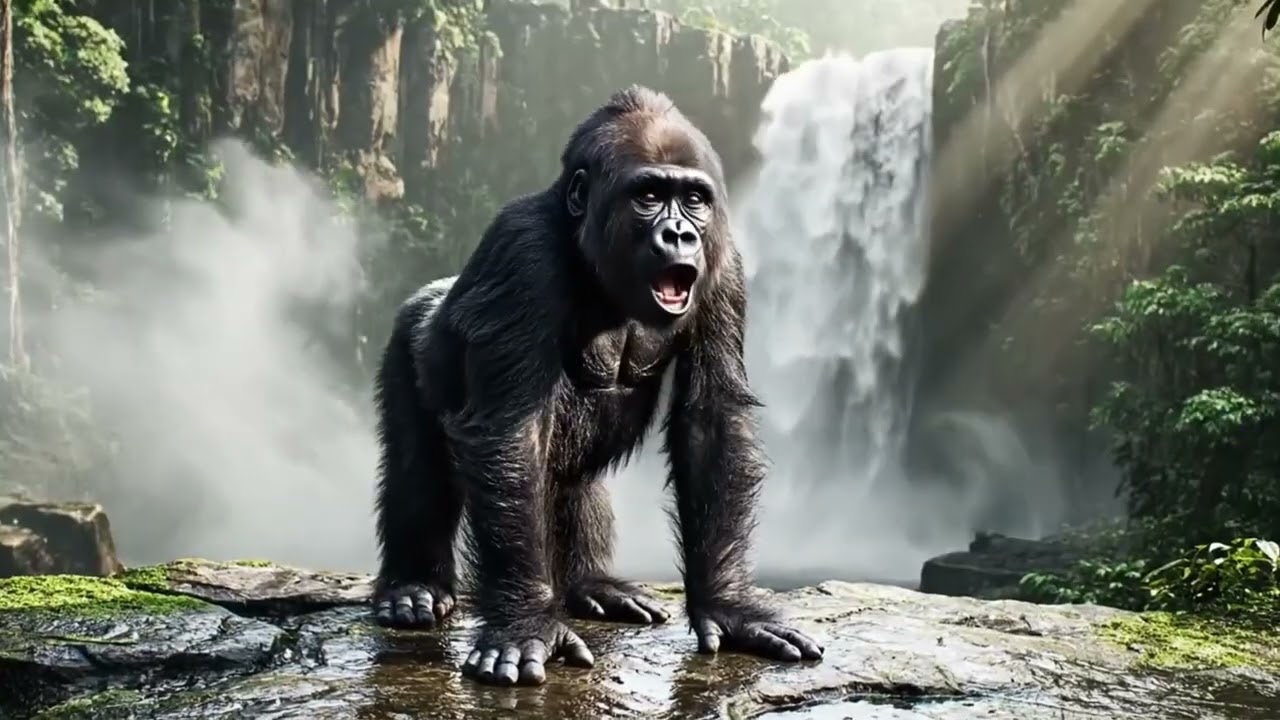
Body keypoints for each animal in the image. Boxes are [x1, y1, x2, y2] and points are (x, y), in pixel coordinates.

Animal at [371, 85, 824, 686]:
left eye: (694, 199)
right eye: (649, 195)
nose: (680, 233)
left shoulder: (724, 266)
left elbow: (712, 420)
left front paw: (729, 605)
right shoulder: (521, 251)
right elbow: (511, 433)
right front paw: (524, 621)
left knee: (573, 483)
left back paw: (589, 585)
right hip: (405, 339)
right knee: (418, 463)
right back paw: (414, 584)